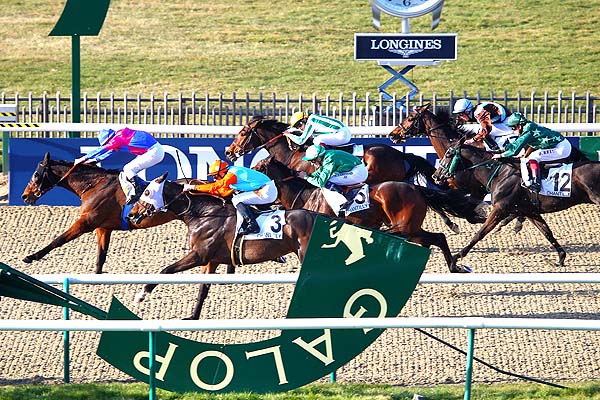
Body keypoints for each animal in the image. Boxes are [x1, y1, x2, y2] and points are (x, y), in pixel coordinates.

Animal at [20, 152, 185, 274]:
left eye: (36, 175)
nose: (25, 195)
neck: (95, 185)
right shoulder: (103, 228)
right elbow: (101, 257)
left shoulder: (86, 223)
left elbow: (58, 240)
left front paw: (31, 256)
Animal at [127, 172, 320, 319]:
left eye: (147, 192)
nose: (131, 214)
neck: (204, 214)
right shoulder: (211, 261)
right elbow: (202, 290)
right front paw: (193, 317)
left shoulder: (199, 255)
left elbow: (166, 270)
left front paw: (141, 294)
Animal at [253, 156, 487, 273]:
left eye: (257, 168)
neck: (305, 196)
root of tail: (416, 188)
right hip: (414, 228)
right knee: (437, 238)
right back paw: (454, 267)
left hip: (406, 225)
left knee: (403, 235)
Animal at [432, 137, 600, 267]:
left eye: (448, 154)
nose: (435, 175)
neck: (500, 174)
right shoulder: (530, 211)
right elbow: (547, 232)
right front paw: (560, 258)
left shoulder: (500, 209)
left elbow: (480, 233)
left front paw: (457, 256)